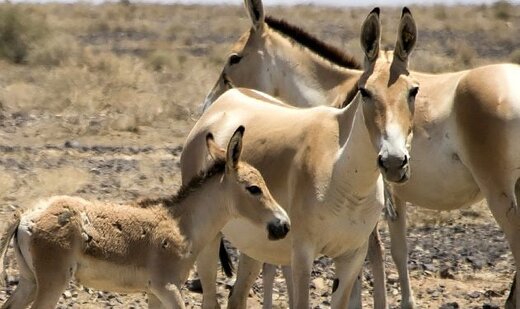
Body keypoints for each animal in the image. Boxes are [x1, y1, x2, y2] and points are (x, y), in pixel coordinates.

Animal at [0, 126, 290, 306]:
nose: (284, 225)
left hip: (30, 281)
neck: (183, 224)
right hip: (52, 281)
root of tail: (25, 215)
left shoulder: (155, 293)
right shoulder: (168, 288)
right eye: (254, 188)